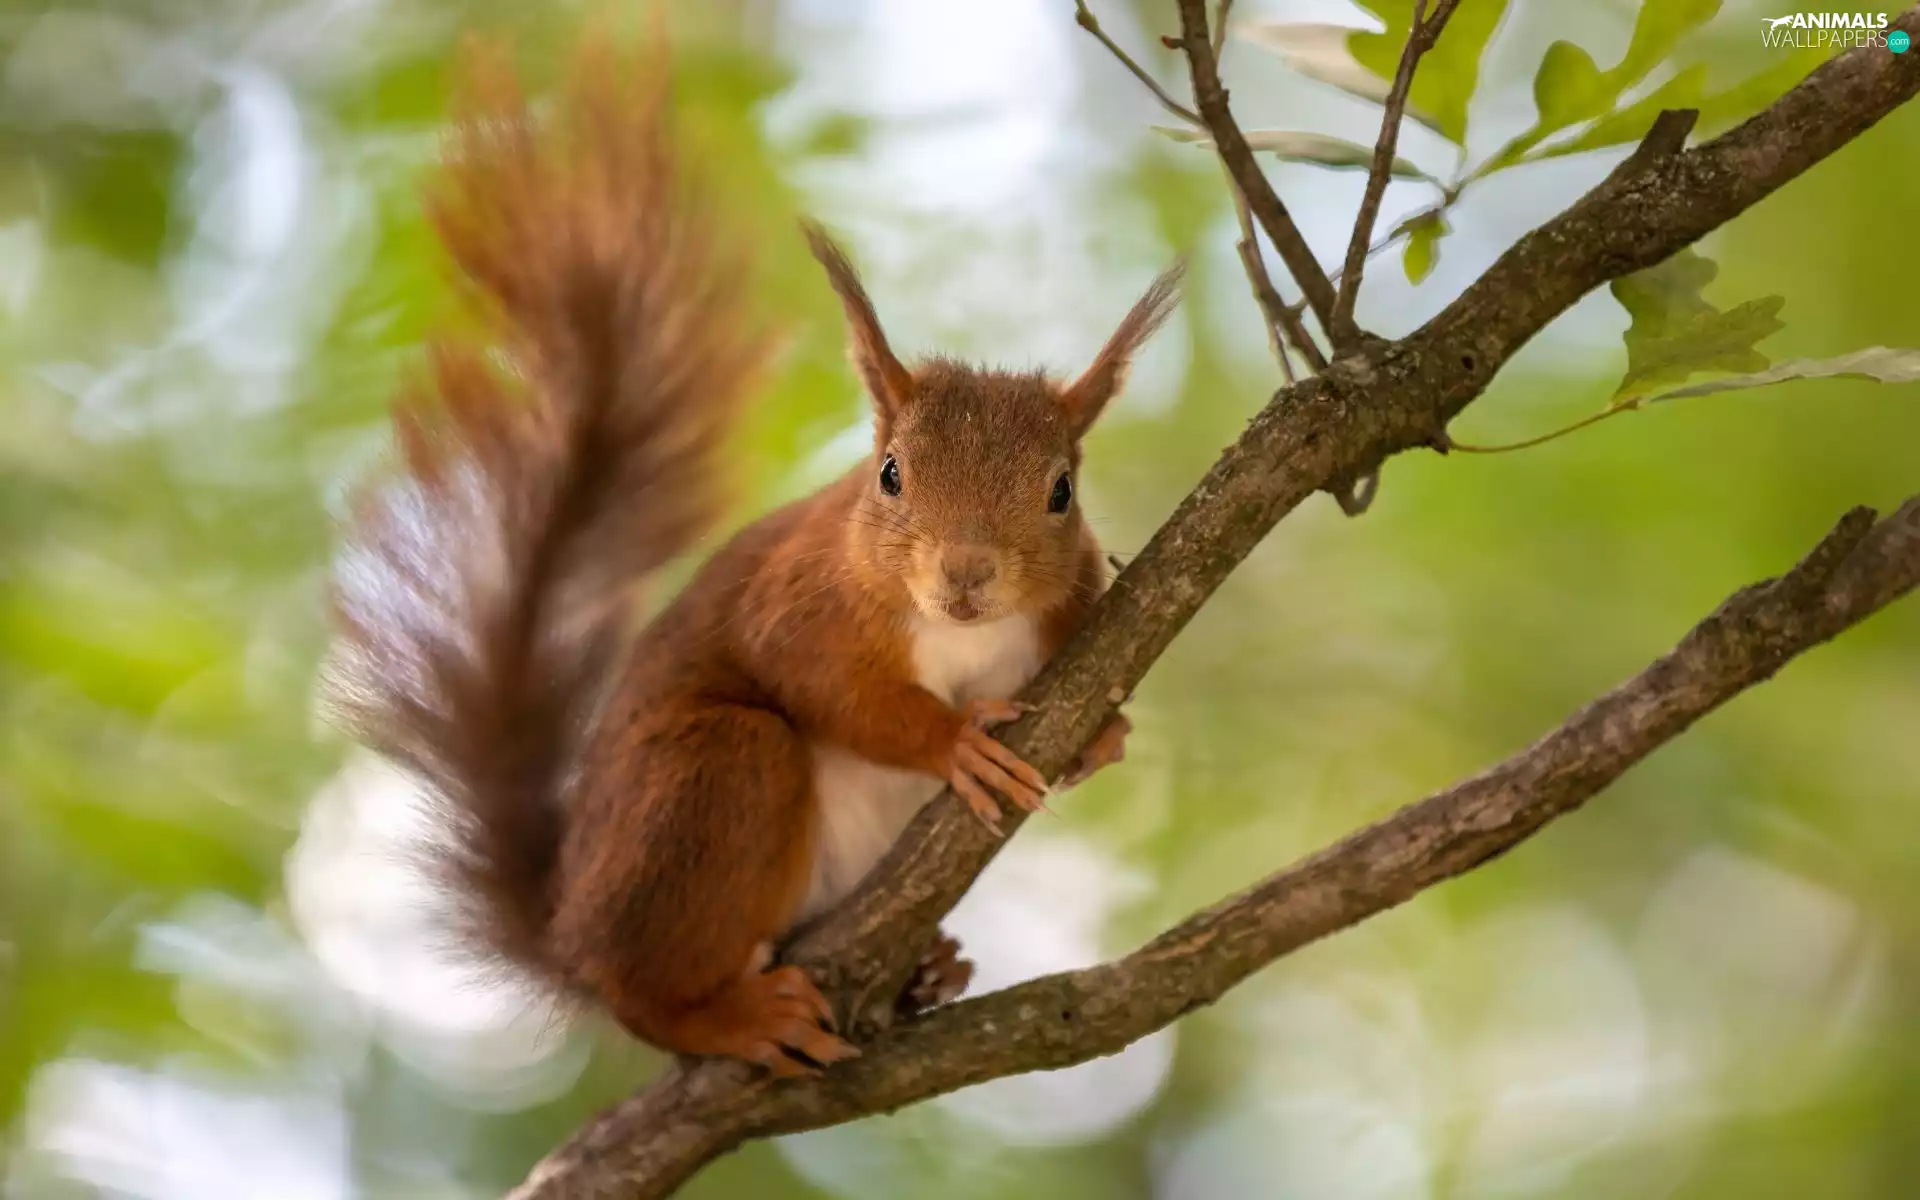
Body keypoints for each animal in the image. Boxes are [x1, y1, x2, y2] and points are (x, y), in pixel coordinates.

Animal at [326, 37, 1182, 1076]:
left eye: (1062, 494)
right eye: (889, 475)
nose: (966, 576)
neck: (962, 632)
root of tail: (572, 934)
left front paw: (1103, 736)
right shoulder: (802, 602)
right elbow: (825, 684)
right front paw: (954, 742)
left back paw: (931, 968)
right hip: (713, 780)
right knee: (648, 986)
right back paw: (725, 1018)